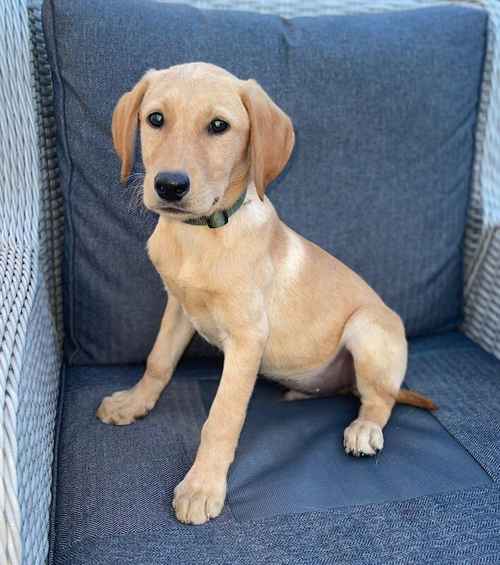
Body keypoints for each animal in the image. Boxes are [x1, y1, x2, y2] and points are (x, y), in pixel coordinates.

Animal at [96, 64, 434, 528]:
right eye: (156, 119)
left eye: (219, 126)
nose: (169, 185)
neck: (202, 235)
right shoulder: (178, 307)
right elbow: (158, 361)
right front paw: (134, 403)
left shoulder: (247, 339)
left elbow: (222, 417)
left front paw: (202, 486)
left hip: (367, 327)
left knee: (379, 399)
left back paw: (365, 429)